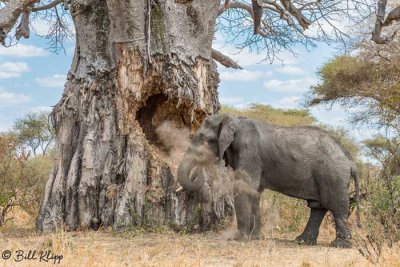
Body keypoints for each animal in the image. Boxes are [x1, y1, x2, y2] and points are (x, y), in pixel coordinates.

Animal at [177, 113, 360, 249]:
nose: (200, 168)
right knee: (318, 207)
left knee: (336, 206)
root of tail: (350, 160)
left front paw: (239, 238)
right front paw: (254, 237)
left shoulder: (249, 152)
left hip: (333, 175)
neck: (233, 119)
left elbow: (244, 188)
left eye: (208, 140)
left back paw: (339, 245)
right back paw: (302, 241)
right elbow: (255, 192)